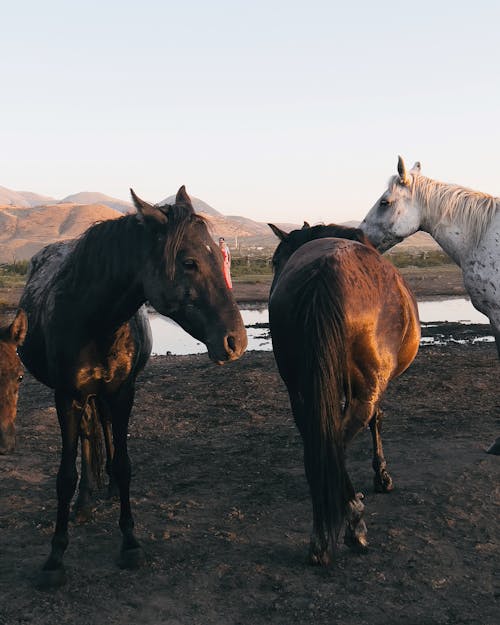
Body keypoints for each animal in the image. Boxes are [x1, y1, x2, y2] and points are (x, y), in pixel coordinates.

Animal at [20, 185, 248, 584]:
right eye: (189, 262)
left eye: (220, 255)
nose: (236, 341)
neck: (93, 320)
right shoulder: (66, 397)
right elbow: (64, 475)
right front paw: (55, 556)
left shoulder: (123, 393)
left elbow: (124, 463)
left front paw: (129, 543)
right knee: (88, 436)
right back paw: (84, 501)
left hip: (103, 397)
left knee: (102, 431)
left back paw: (104, 489)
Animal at [268, 222, 420, 564]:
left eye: (276, 261)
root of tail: (323, 273)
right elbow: (377, 420)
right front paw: (381, 477)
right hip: (364, 389)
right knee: (335, 441)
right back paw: (353, 521)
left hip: (299, 391)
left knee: (317, 445)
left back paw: (322, 533)